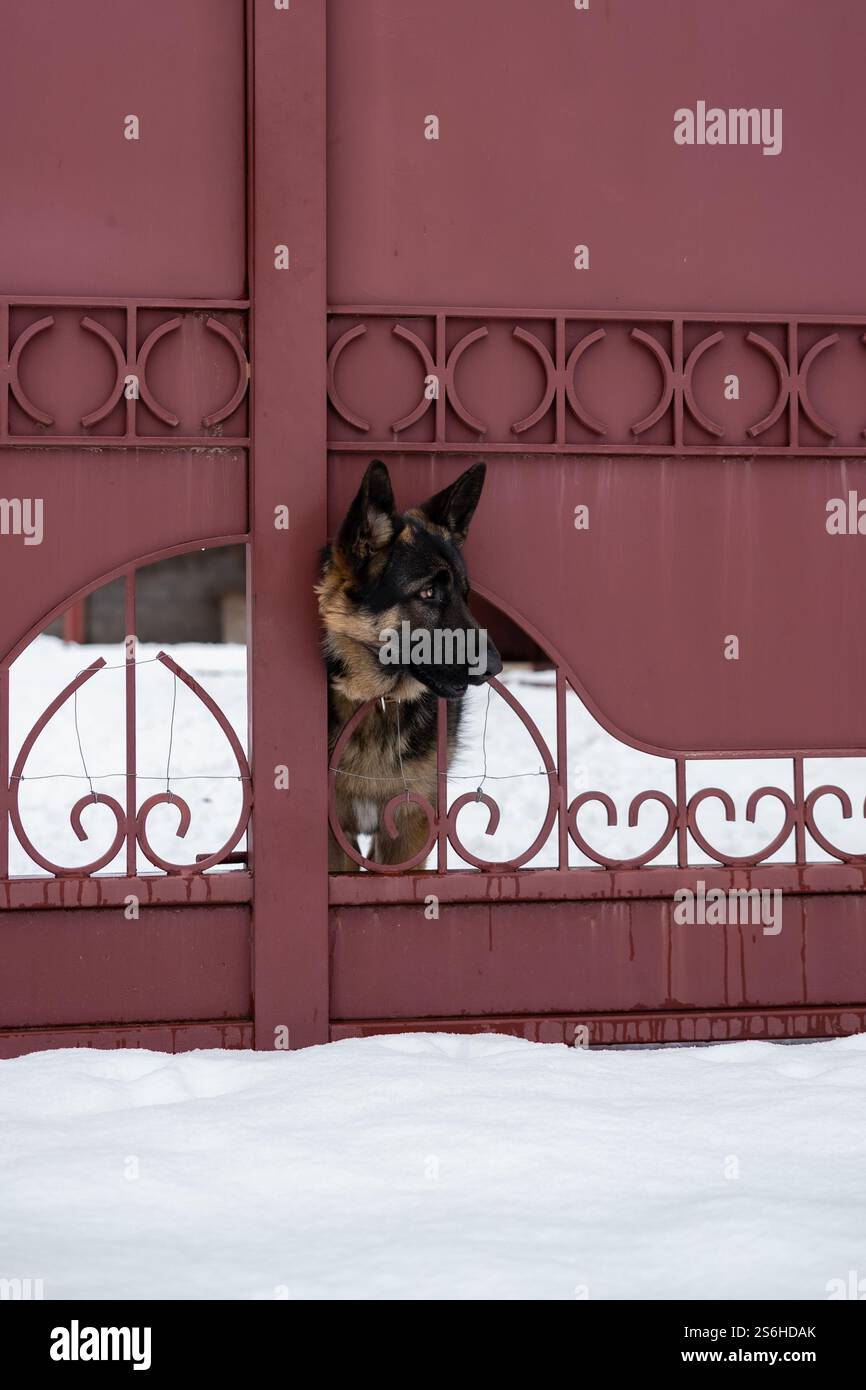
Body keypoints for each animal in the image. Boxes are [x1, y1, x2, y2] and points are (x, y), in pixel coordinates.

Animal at [319, 461, 500, 867]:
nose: (495, 667)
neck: (379, 704)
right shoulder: (334, 837)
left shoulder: (409, 830)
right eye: (428, 593)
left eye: (465, 594)